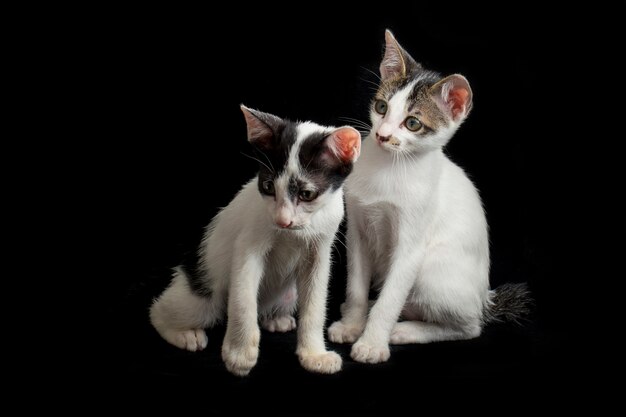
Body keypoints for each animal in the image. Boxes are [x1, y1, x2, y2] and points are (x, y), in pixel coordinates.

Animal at [148, 105, 358, 376]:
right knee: (161, 311)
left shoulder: (320, 250)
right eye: (268, 187)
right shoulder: (248, 245)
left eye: (307, 194)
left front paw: (314, 355)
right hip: (202, 296)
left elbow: (315, 303)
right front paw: (239, 354)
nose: (282, 221)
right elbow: (243, 299)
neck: (293, 233)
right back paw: (184, 334)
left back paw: (276, 319)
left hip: (289, 293)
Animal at [326, 30, 528, 360]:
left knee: (469, 327)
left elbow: (391, 299)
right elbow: (356, 285)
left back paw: (404, 330)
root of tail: (485, 301)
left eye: (412, 123)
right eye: (381, 108)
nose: (382, 135)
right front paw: (352, 325)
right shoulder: (357, 231)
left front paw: (372, 344)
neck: (388, 167)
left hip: (431, 273)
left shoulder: (411, 246)